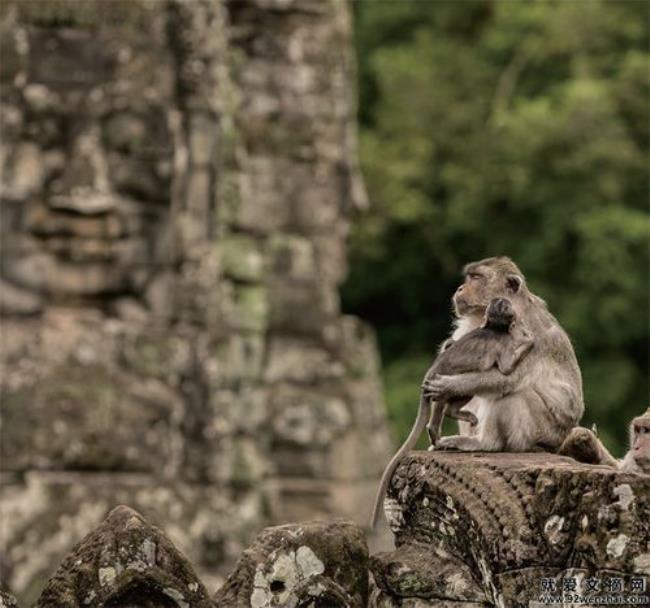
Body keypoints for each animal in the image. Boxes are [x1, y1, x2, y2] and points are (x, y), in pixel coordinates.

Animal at [370, 296, 532, 524]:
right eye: (505, 304)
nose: (505, 302)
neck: (493, 328)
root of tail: (429, 372)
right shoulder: (505, 344)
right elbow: (506, 369)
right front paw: (528, 341)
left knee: (461, 393)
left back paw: (454, 416)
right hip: (439, 379)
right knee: (444, 399)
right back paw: (435, 430)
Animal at [422, 255, 584, 452]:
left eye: (476, 278)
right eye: (469, 277)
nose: (460, 288)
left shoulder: (526, 331)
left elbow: (507, 377)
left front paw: (448, 385)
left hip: (543, 432)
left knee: (512, 393)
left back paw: (485, 443)